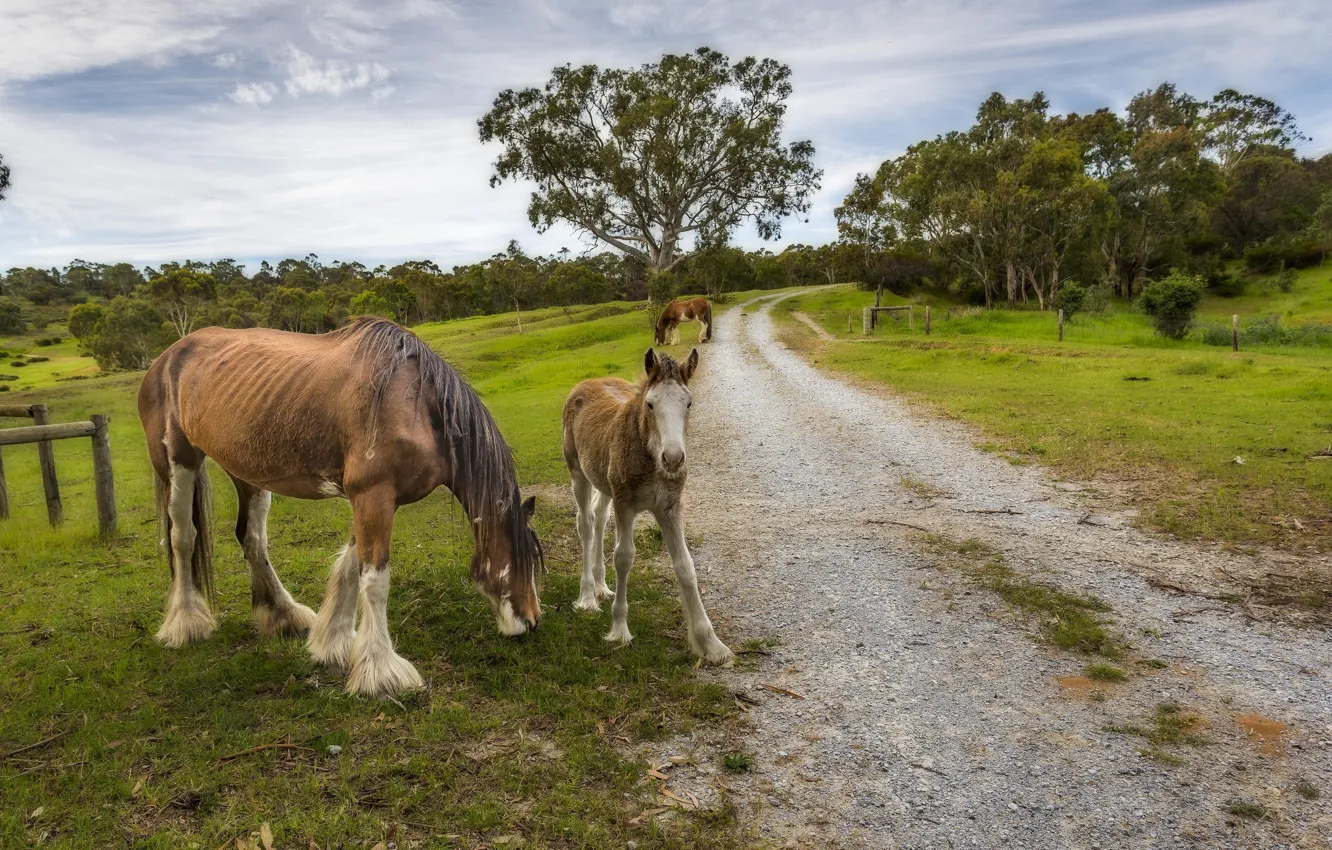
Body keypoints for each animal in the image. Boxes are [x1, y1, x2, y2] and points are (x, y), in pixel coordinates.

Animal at [137, 317, 544, 698]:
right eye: (523, 558)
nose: (532, 621)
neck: (415, 404)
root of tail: (165, 359)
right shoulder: (373, 496)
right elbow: (375, 581)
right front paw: (380, 672)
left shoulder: (375, 501)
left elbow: (350, 567)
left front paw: (332, 643)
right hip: (178, 463)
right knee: (182, 538)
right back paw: (186, 623)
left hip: (248, 472)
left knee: (252, 539)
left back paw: (284, 614)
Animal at [561, 348, 732, 666]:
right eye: (651, 404)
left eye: (689, 403)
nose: (673, 459)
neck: (649, 454)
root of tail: (585, 383)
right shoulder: (625, 504)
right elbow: (624, 557)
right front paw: (619, 629)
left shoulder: (669, 508)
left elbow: (685, 566)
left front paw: (711, 644)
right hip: (578, 472)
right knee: (586, 524)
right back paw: (588, 597)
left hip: (604, 482)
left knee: (600, 516)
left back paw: (602, 587)